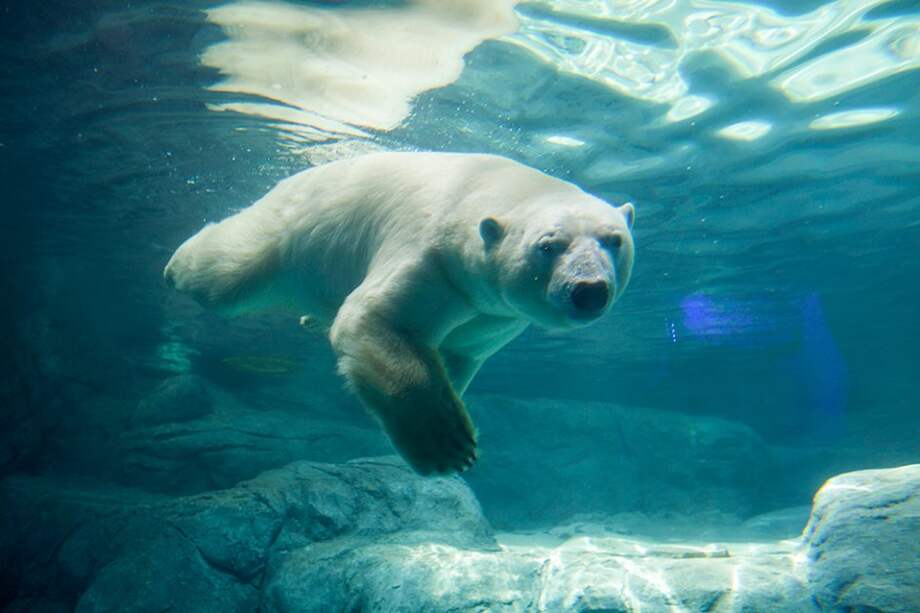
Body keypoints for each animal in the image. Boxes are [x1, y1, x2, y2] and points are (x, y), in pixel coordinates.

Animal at [164, 152, 635, 475]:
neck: (479, 191)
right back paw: (175, 264)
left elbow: (458, 352)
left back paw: (310, 319)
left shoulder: (495, 315)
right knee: (225, 274)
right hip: (290, 229)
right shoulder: (432, 258)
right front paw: (448, 447)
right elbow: (375, 320)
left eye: (613, 239)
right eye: (549, 245)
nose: (589, 290)